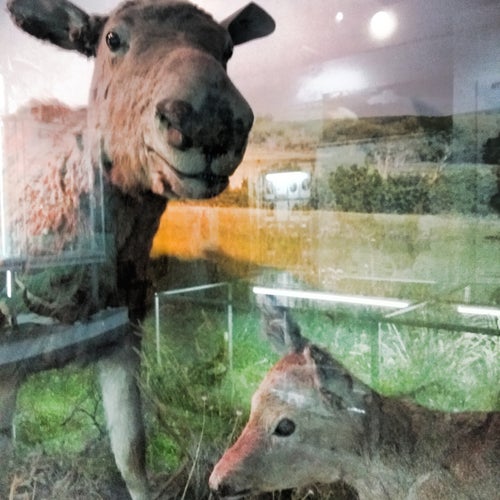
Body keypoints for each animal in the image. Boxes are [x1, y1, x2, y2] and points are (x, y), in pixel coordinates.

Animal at [0, 1, 274, 499]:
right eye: (112, 39)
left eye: (227, 48)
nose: (209, 122)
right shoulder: (9, 358)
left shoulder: (123, 334)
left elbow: (132, 454)